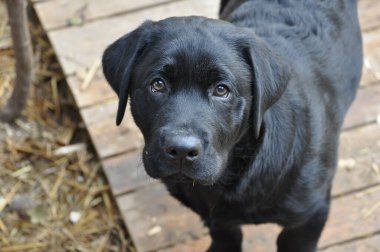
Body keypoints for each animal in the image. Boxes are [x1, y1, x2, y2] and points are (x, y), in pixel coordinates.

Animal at [101, 0, 362, 251]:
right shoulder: (215, 218)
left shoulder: (310, 216)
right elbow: (225, 233)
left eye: (221, 90)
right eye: (157, 84)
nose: (181, 150)